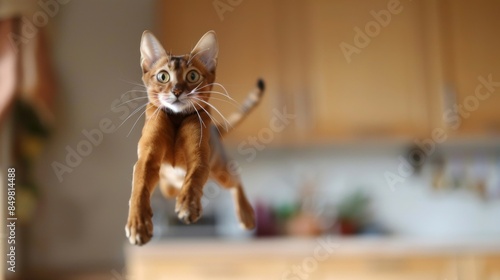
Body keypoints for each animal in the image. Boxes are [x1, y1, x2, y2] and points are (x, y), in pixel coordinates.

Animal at [125, 30, 266, 245]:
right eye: (163, 76)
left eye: (192, 75)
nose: (176, 91)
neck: (176, 120)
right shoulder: (146, 159)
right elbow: (139, 188)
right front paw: (138, 224)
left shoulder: (200, 157)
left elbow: (193, 180)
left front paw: (188, 206)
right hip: (168, 186)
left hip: (219, 169)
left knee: (235, 179)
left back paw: (246, 215)